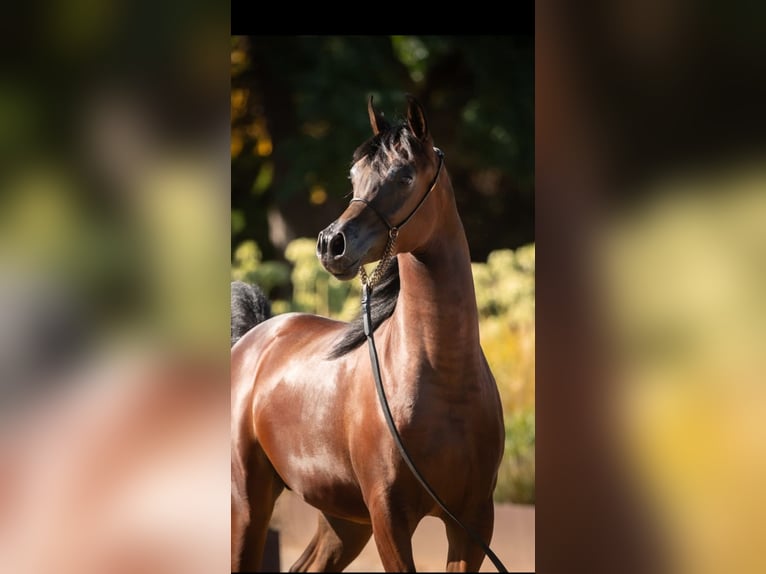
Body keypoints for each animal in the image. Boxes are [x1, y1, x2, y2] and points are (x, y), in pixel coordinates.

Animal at [234, 94, 510, 572]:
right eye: (354, 176)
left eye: (404, 175)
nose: (331, 244)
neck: (445, 381)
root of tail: (254, 338)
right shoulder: (389, 517)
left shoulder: (473, 521)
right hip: (250, 504)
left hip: (343, 519)